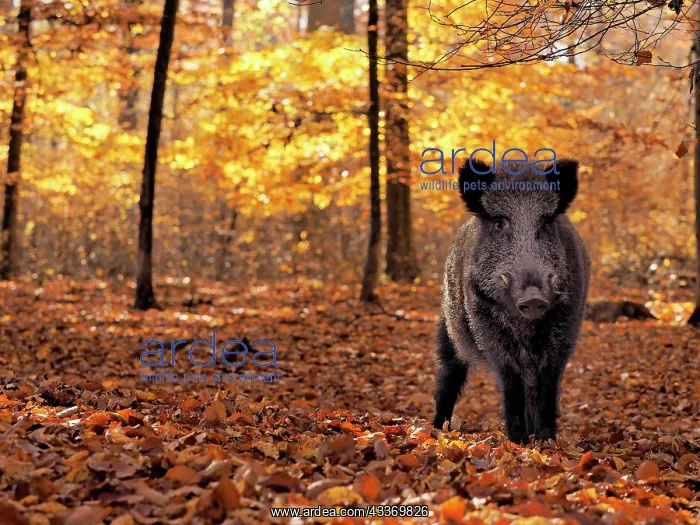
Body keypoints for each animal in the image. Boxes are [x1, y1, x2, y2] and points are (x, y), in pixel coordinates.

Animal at [433, 158, 590, 444]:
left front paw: (545, 440)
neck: (525, 327)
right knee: (447, 378)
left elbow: (547, 384)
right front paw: (518, 441)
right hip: (446, 333)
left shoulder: (565, 330)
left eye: (545, 222)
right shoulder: (486, 327)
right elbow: (511, 382)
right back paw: (438, 428)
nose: (534, 298)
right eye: (499, 223)